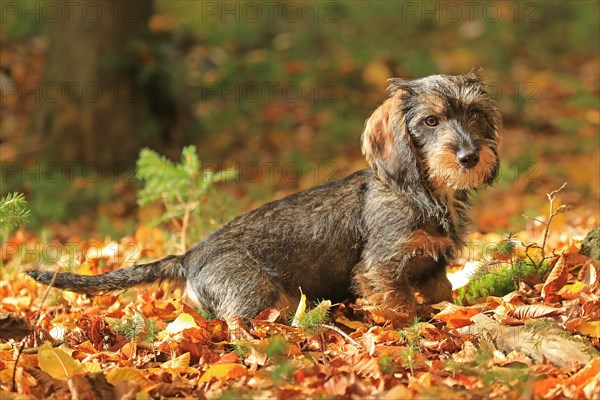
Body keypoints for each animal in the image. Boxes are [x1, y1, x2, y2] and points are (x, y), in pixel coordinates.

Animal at [27, 72, 502, 324]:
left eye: (475, 115)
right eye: (431, 120)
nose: (470, 157)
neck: (423, 193)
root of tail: (189, 255)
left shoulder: (433, 266)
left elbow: (442, 294)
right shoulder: (381, 268)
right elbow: (399, 306)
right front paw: (412, 329)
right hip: (255, 289)